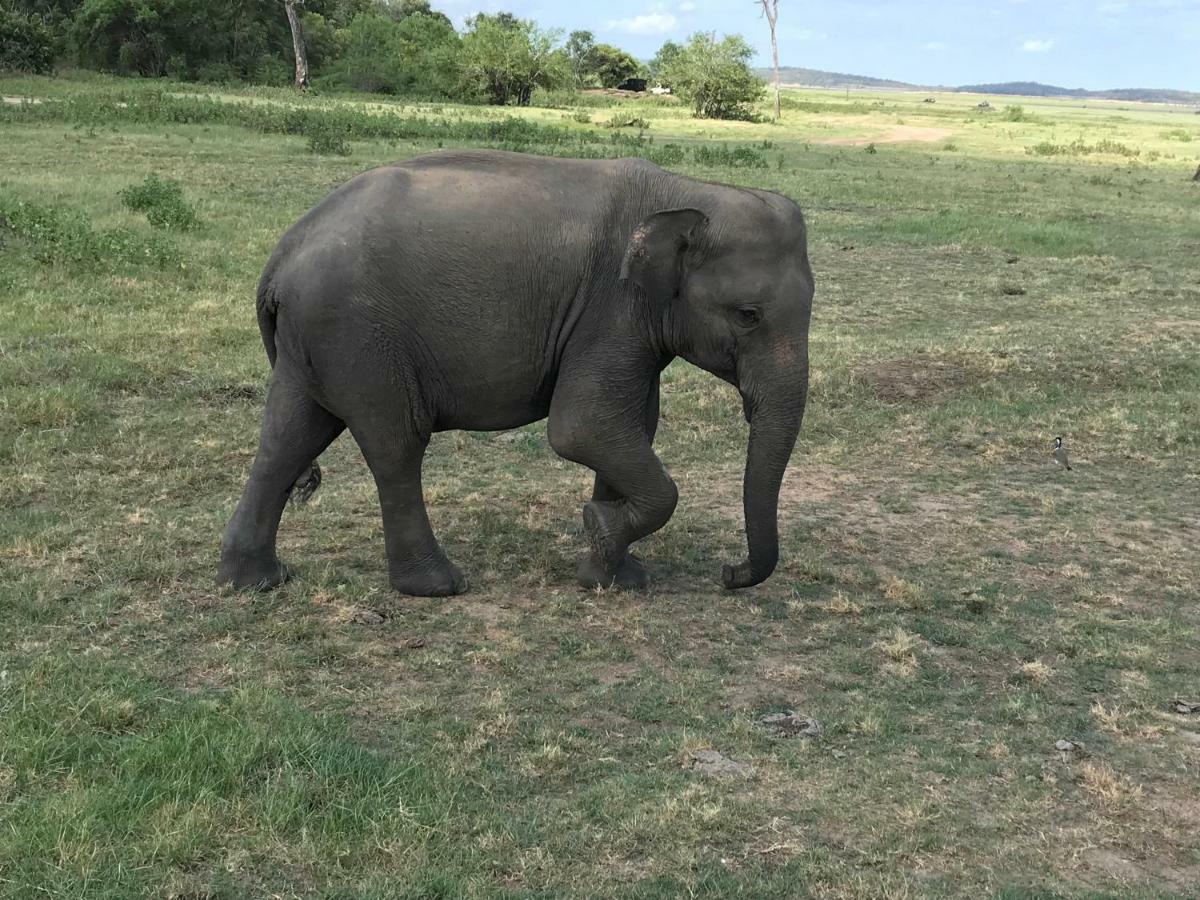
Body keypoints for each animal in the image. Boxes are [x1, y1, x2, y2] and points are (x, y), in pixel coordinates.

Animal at [217, 148, 816, 600]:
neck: (691, 193)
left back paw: (255, 582)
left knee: (288, 438)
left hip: (314, 339)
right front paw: (598, 529)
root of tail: (281, 255)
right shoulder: (611, 309)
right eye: (748, 315)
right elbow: (584, 428)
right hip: (357, 332)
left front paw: (612, 576)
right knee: (395, 444)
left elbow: (631, 425)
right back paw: (438, 587)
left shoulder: (629, 326)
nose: (729, 574)